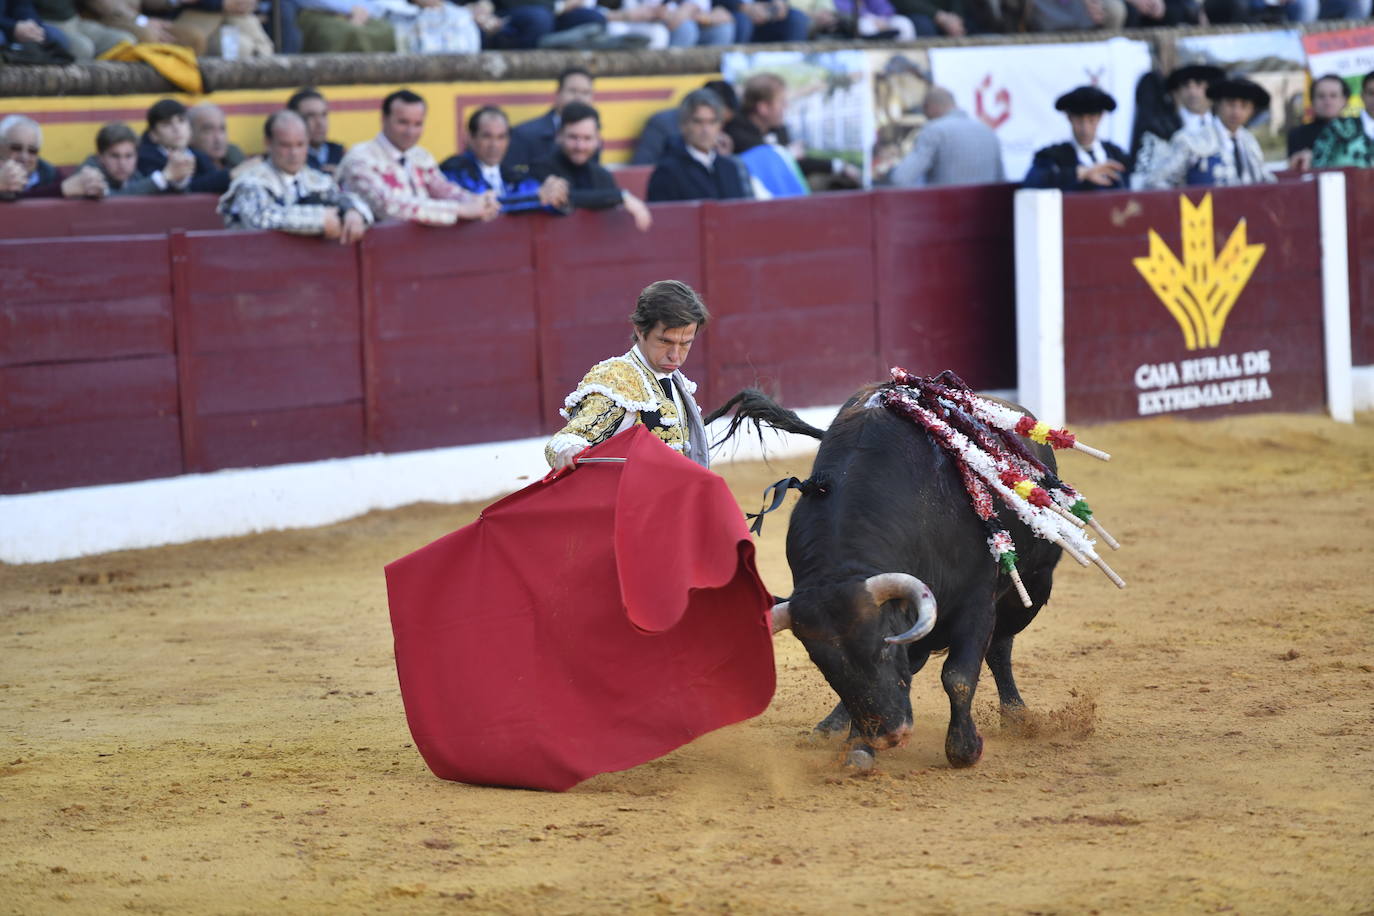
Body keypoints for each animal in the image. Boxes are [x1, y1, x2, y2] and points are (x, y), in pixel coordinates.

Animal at [714, 384, 1077, 769]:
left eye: (884, 648)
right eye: (825, 667)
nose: (889, 735)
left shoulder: (977, 601)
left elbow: (959, 675)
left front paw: (965, 748)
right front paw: (858, 746)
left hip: (1033, 585)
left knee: (1000, 647)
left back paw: (1016, 716)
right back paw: (832, 726)